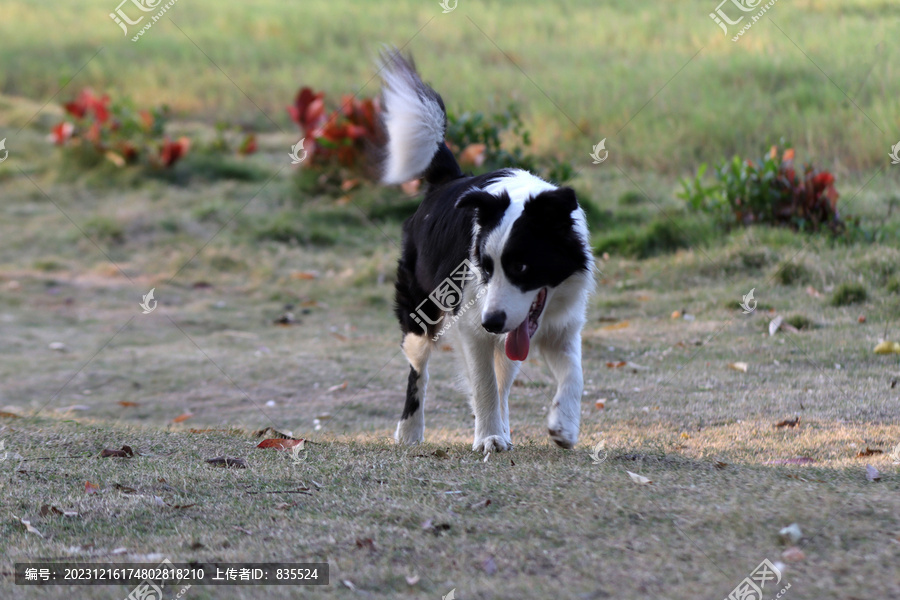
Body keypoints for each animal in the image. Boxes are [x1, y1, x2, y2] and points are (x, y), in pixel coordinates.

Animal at [376, 51, 596, 452]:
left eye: (522, 267)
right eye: (487, 269)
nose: (491, 321)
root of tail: (449, 180)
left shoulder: (560, 327)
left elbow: (574, 374)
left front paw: (564, 425)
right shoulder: (472, 326)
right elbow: (482, 384)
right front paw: (489, 436)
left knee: (504, 375)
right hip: (421, 314)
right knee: (419, 371)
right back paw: (410, 431)